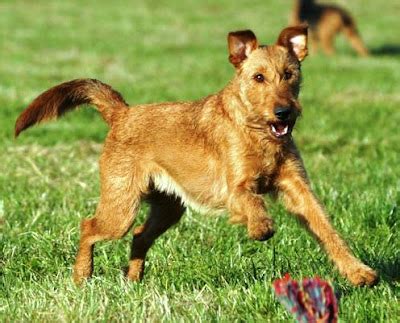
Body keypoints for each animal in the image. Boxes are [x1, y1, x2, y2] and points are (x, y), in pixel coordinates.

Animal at [14, 26, 378, 288]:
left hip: (168, 208)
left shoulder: (298, 188)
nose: (284, 112)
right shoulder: (234, 186)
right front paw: (261, 228)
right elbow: (253, 201)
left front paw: (359, 273)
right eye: (258, 77)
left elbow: (327, 230)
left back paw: (133, 280)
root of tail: (122, 113)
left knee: (139, 236)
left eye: (290, 74)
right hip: (121, 205)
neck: (256, 132)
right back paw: (82, 276)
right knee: (89, 226)